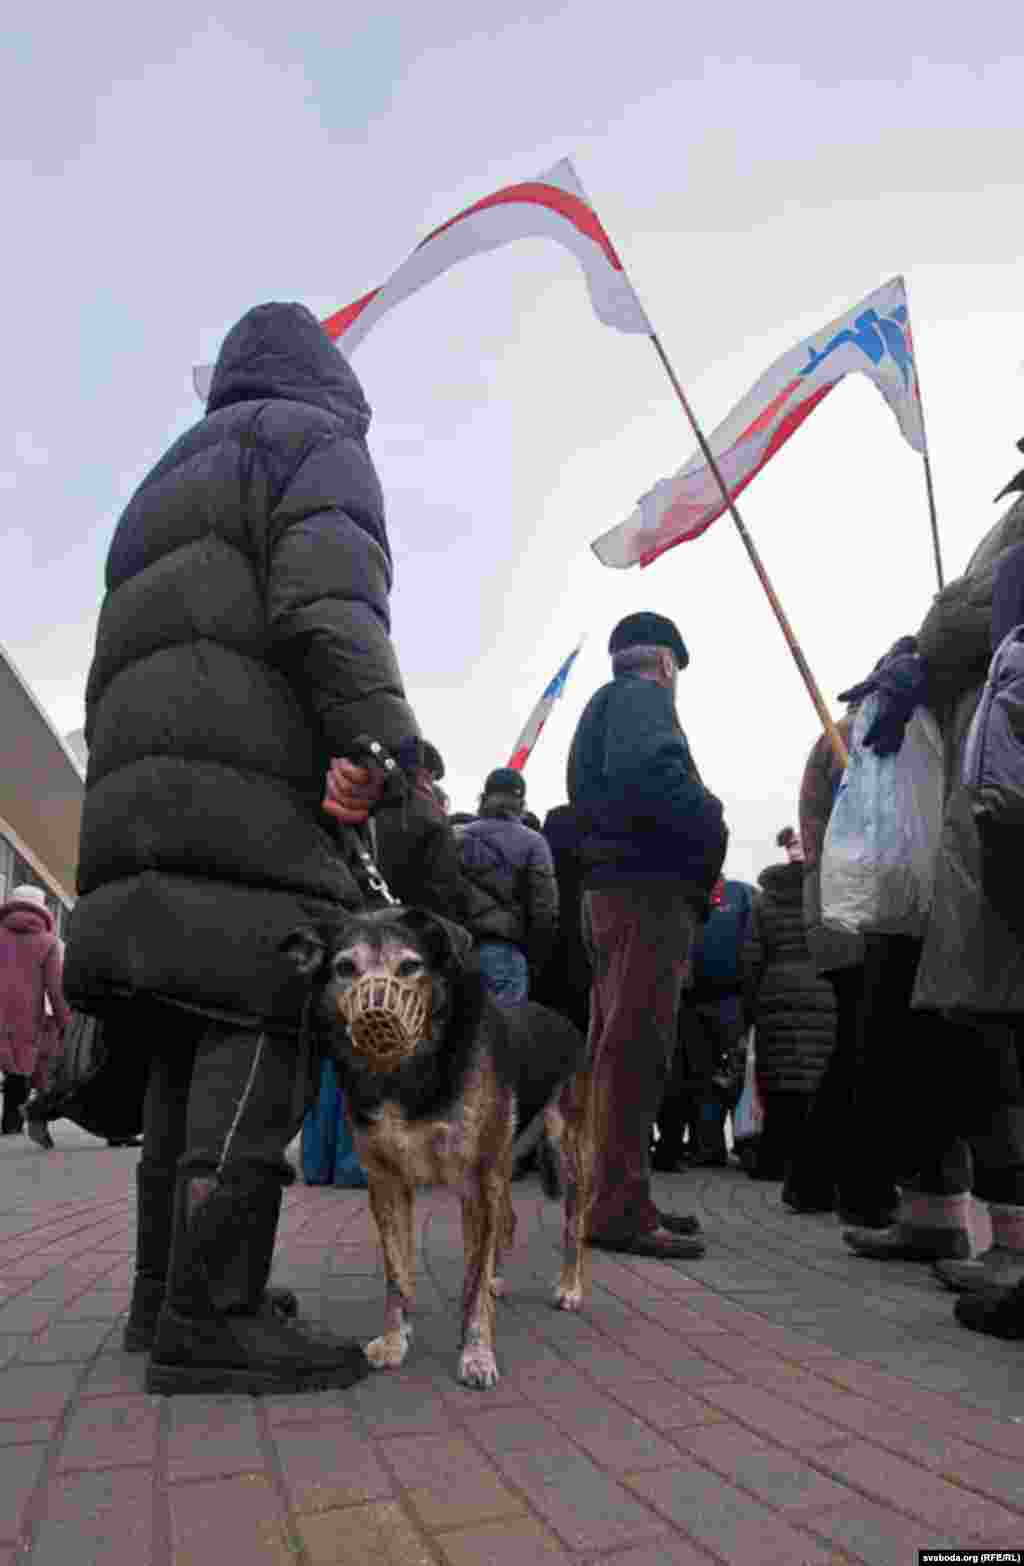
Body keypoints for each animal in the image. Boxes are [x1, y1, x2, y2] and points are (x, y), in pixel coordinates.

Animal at [283, 902, 594, 1390]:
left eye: (410, 967)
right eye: (345, 968)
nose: (376, 1015)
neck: (406, 1075)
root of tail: (562, 1018)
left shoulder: (475, 1183)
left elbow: (470, 1286)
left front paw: (476, 1355)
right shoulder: (387, 1183)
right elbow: (397, 1273)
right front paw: (395, 1341)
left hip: (567, 1151)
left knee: (572, 1224)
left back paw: (569, 1287)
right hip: (502, 1164)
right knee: (508, 1220)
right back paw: (498, 1279)